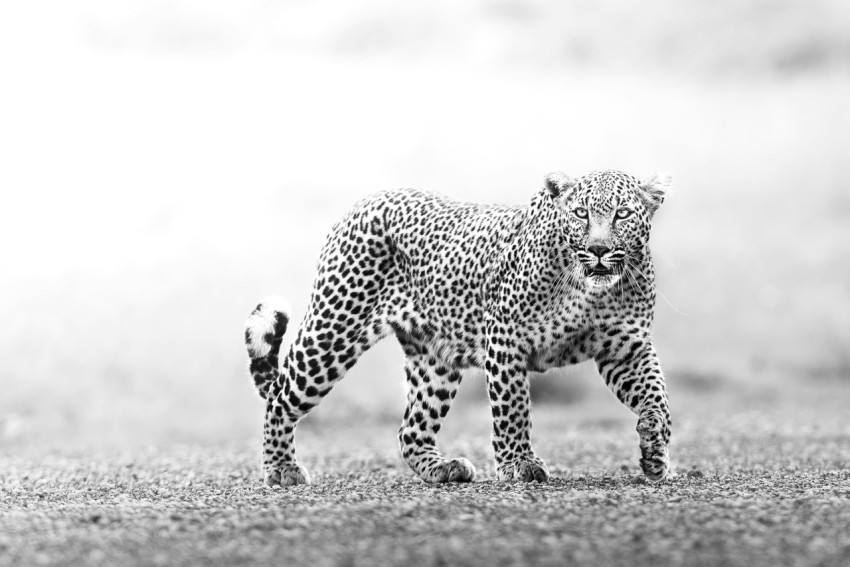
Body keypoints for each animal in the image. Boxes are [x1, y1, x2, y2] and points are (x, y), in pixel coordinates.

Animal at [245, 169, 673, 486]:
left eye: (622, 214)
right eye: (581, 213)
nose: (599, 250)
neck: (590, 290)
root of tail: (364, 202)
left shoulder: (627, 348)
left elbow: (657, 396)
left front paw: (655, 449)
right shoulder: (506, 338)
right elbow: (513, 408)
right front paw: (519, 464)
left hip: (434, 359)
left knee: (412, 429)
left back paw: (443, 469)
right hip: (334, 329)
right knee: (280, 396)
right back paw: (281, 469)